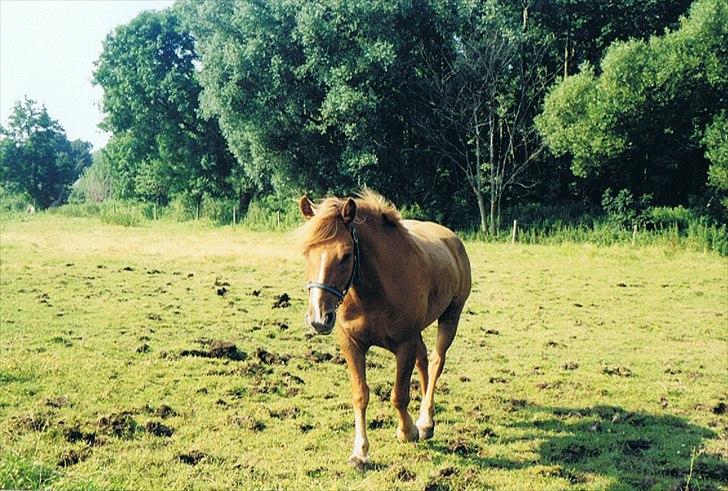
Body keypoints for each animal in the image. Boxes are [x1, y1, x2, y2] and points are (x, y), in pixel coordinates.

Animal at [296, 191, 472, 468]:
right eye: (306, 253)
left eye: (346, 255)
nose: (318, 318)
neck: (375, 290)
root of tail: (452, 239)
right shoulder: (352, 345)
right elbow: (360, 395)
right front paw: (360, 452)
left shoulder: (405, 344)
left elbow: (399, 396)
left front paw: (407, 431)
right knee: (424, 363)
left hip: (450, 316)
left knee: (436, 362)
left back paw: (425, 421)